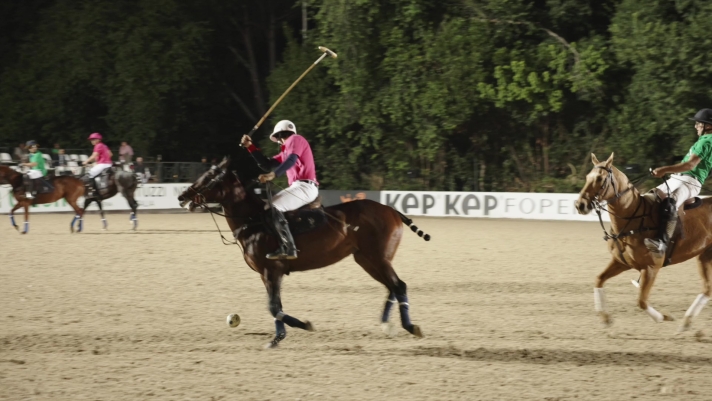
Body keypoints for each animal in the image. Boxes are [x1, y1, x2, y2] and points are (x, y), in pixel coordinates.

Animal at [178, 158, 434, 348]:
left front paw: (304, 326)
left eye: (209, 178)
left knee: (399, 285)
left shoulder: (273, 269)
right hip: (367, 259)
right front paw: (277, 339)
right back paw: (386, 325)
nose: (182, 197)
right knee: (391, 286)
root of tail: (391, 210)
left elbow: (274, 307)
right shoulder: (265, 273)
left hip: (377, 258)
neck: (252, 221)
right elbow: (276, 306)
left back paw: (411, 327)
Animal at [576, 153, 708, 332]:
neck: (631, 220)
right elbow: (598, 280)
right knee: (708, 289)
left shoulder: (652, 267)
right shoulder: (620, 262)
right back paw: (686, 323)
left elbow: (641, 301)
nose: (580, 205)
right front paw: (605, 318)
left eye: (600, 178)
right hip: (705, 255)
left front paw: (664, 317)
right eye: (587, 177)